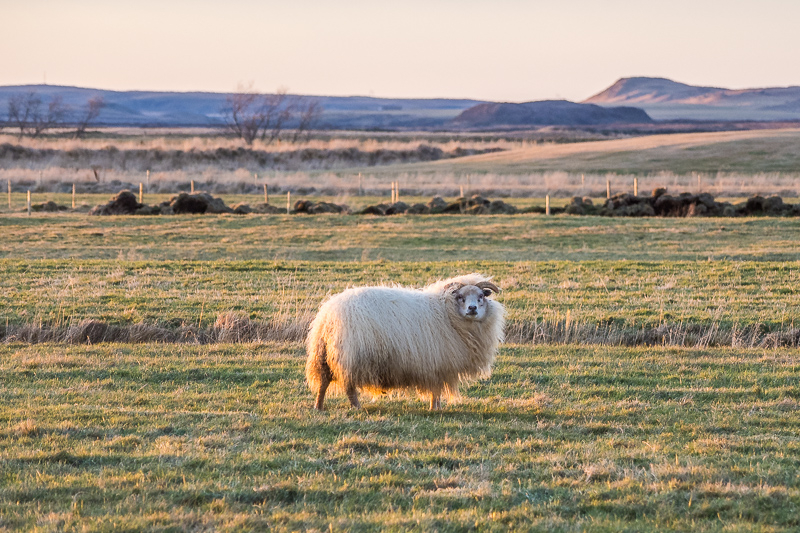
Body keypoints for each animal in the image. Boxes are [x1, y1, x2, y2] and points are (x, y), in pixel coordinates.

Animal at [306, 272, 506, 410]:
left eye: (481, 297)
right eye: (460, 297)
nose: (472, 308)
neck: (446, 311)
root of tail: (328, 314)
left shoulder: (436, 364)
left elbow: (436, 390)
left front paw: (436, 408)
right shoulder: (438, 363)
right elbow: (436, 391)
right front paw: (435, 408)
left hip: (324, 354)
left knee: (323, 382)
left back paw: (319, 407)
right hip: (351, 355)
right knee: (348, 386)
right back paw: (356, 407)